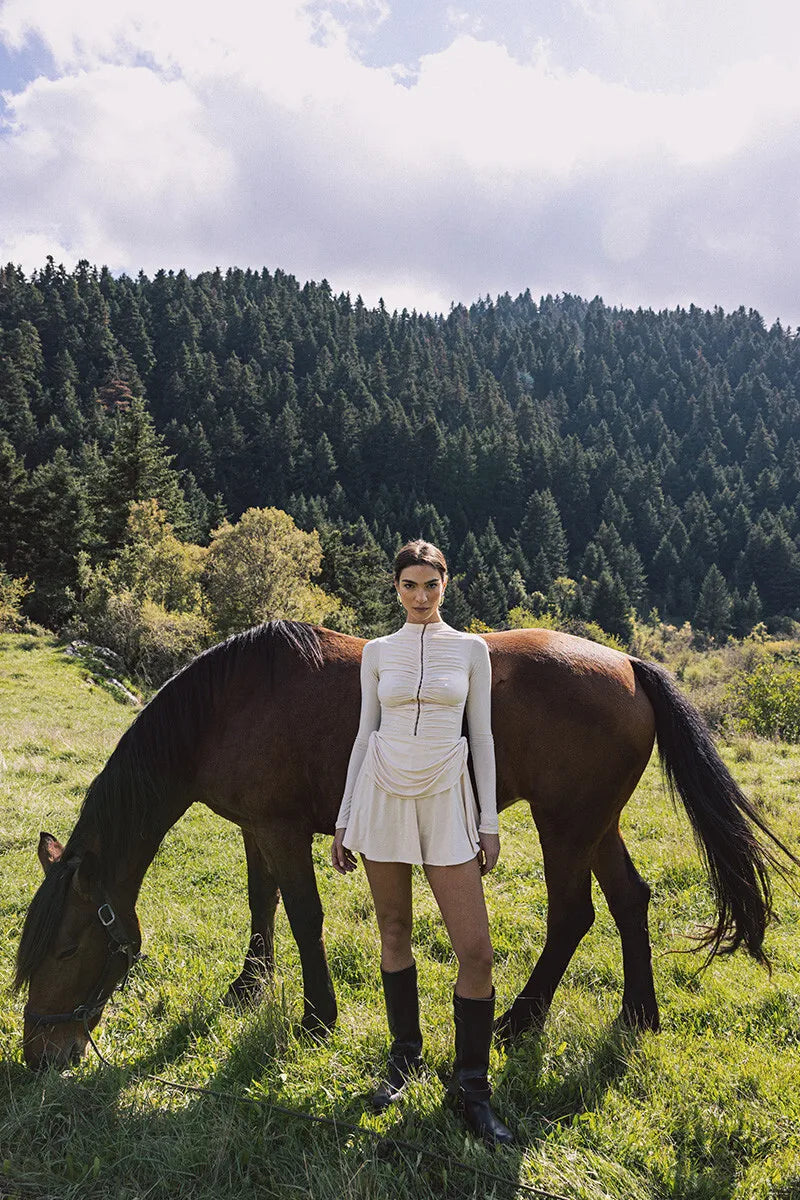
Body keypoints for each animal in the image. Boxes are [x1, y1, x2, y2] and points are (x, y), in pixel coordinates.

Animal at [12, 619, 796, 1070]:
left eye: (66, 950)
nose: (38, 1054)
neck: (225, 708)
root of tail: (630, 666)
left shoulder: (280, 830)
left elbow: (303, 915)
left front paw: (317, 1016)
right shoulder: (254, 829)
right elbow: (261, 902)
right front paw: (248, 986)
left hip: (566, 826)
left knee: (574, 914)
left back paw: (518, 1021)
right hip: (595, 823)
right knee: (632, 901)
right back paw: (638, 1015)